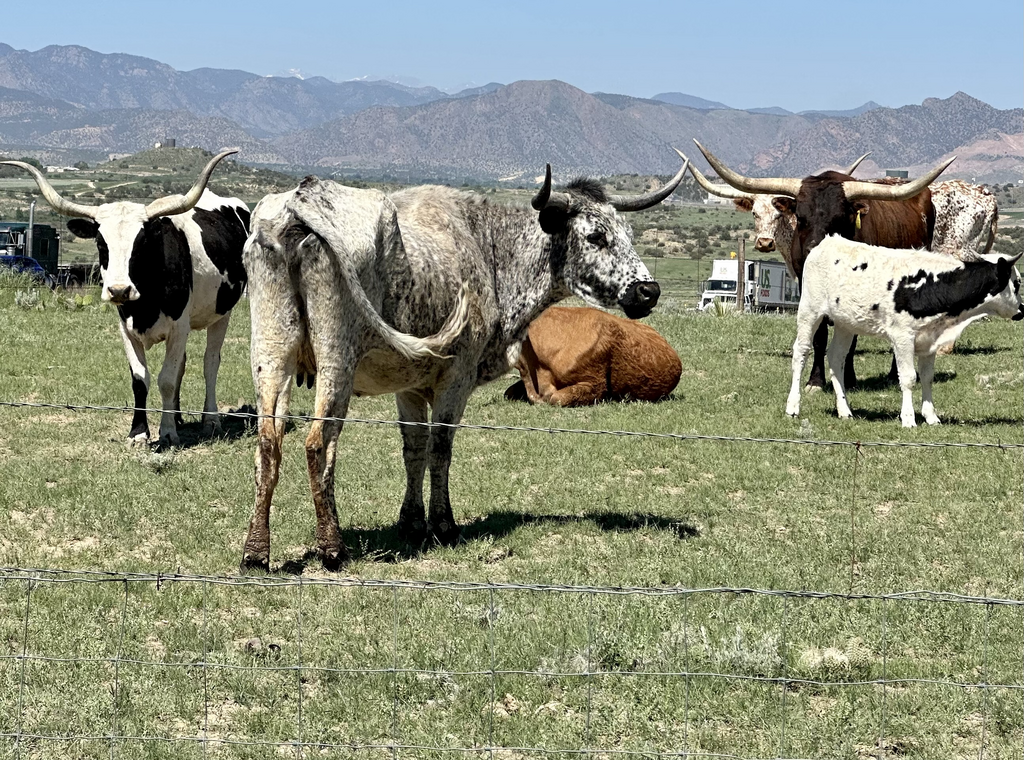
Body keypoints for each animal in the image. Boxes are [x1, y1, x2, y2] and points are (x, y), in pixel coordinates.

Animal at [2, 152, 249, 446]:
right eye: (100, 243)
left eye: (142, 242)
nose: (119, 290)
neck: (145, 303)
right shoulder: (126, 327)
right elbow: (141, 379)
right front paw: (139, 432)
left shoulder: (179, 326)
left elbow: (167, 379)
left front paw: (167, 432)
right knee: (184, 364)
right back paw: (178, 416)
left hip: (222, 314)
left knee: (210, 363)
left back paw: (209, 419)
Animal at [691, 141, 956, 390]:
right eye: (801, 218)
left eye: (838, 220)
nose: (815, 254)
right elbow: (819, 336)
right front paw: (815, 380)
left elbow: (851, 338)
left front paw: (848, 378)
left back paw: (894, 374)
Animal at [785, 235, 1023, 427]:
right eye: (1018, 283)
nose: (1022, 310)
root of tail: (829, 241)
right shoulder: (902, 337)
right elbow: (908, 377)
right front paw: (908, 418)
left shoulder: (929, 340)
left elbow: (927, 377)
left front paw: (931, 417)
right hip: (809, 310)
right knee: (801, 352)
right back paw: (793, 407)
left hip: (846, 323)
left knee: (836, 358)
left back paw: (845, 410)